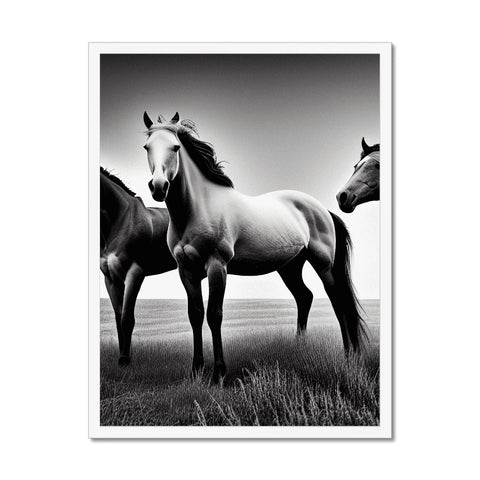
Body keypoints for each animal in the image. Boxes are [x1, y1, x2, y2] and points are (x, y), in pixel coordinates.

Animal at [100, 167, 177, 366]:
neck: (119, 220)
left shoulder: (134, 273)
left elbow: (127, 318)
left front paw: (125, 360)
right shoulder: (111, 279)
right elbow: (118, 318)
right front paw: (121, 355)